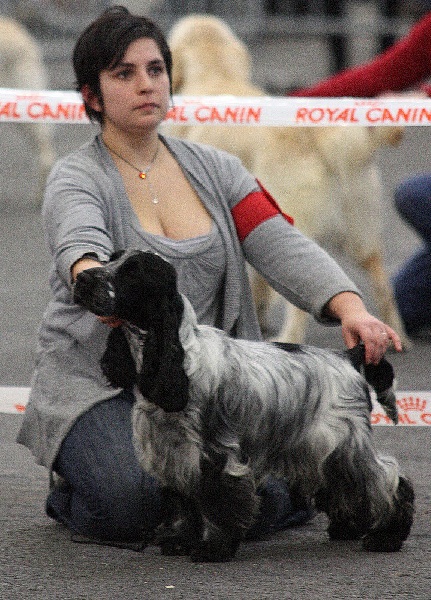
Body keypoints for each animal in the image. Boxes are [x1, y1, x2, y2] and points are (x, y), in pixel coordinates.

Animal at [73, 249, 414, 563]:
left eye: (133, 271)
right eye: (109, 259)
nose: (82, 278)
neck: (182, 359)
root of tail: (348, 356)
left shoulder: (216, 454)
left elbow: (216, 506)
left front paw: (213, 548)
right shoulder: (173, 454)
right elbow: (185, 504)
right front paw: (180, 542)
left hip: (343, 442)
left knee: (387, 479)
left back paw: (385, 537)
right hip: (318, 449)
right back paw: (348, 528)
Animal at [165, 14, 409, 347]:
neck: (217, 72)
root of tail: (322, 140)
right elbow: (257, 283)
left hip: (298, 221)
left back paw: (289, 337)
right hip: (360, 228)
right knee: (380, 280)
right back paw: (395, 334)